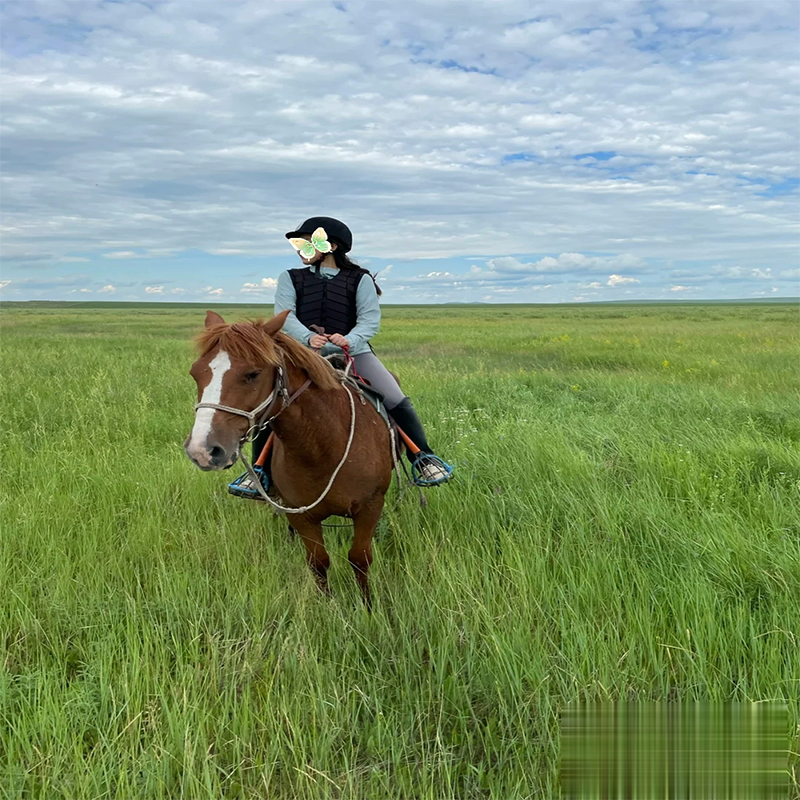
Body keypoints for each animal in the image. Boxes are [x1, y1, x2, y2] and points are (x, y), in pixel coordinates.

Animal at [182, 310, 394, 604]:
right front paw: (327, 605)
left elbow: (359, 559)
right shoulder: (300, 514)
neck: (323, 447)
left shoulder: (369, 507)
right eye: (195, 373)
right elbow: (318, 562)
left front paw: (367, 606)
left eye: (253, 374)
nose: (202, 450)